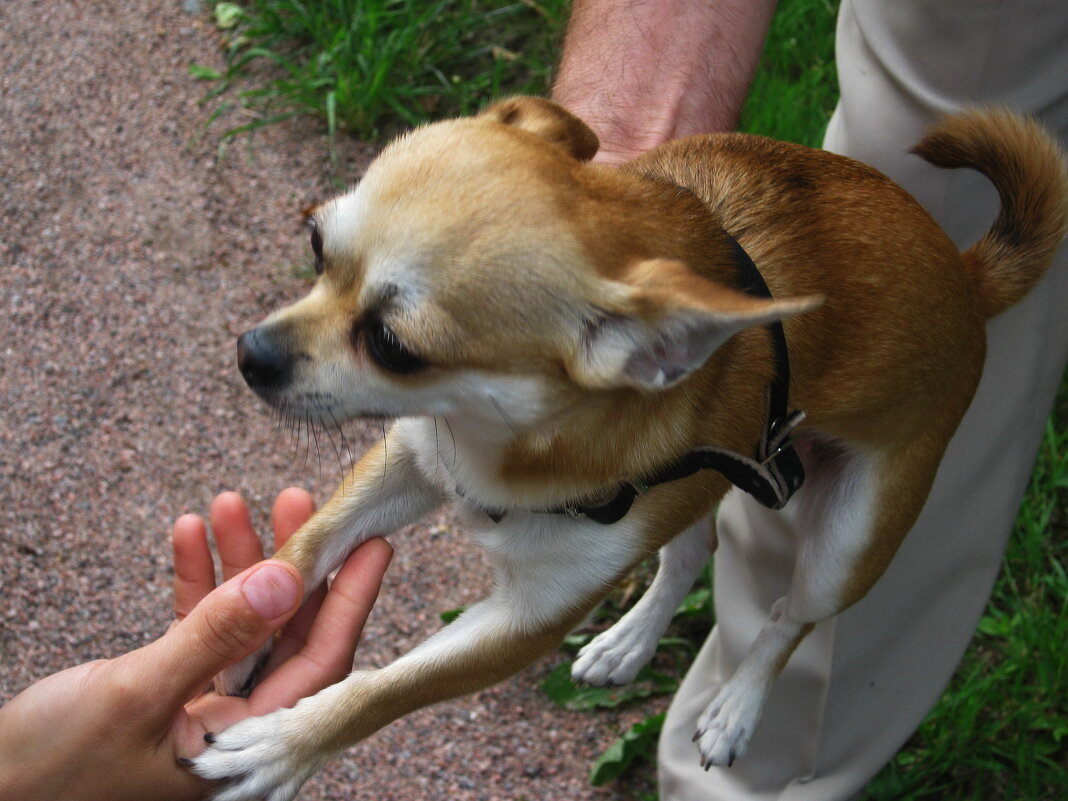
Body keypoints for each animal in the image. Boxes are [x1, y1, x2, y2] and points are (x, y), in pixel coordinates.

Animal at [192, 97, 1068, 798]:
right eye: (315, 244)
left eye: (392, 345)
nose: (249, 353)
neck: (497, 443)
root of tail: (967, 279)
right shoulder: (411, 462)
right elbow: (304, 550)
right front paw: (239, 618)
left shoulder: (525, 619)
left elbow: (385, 688)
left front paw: (283, 742)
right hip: (707, 483)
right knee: (689, 554)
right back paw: (629, 641)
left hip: (853, 536)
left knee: (790, 616)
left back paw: (735, 708)